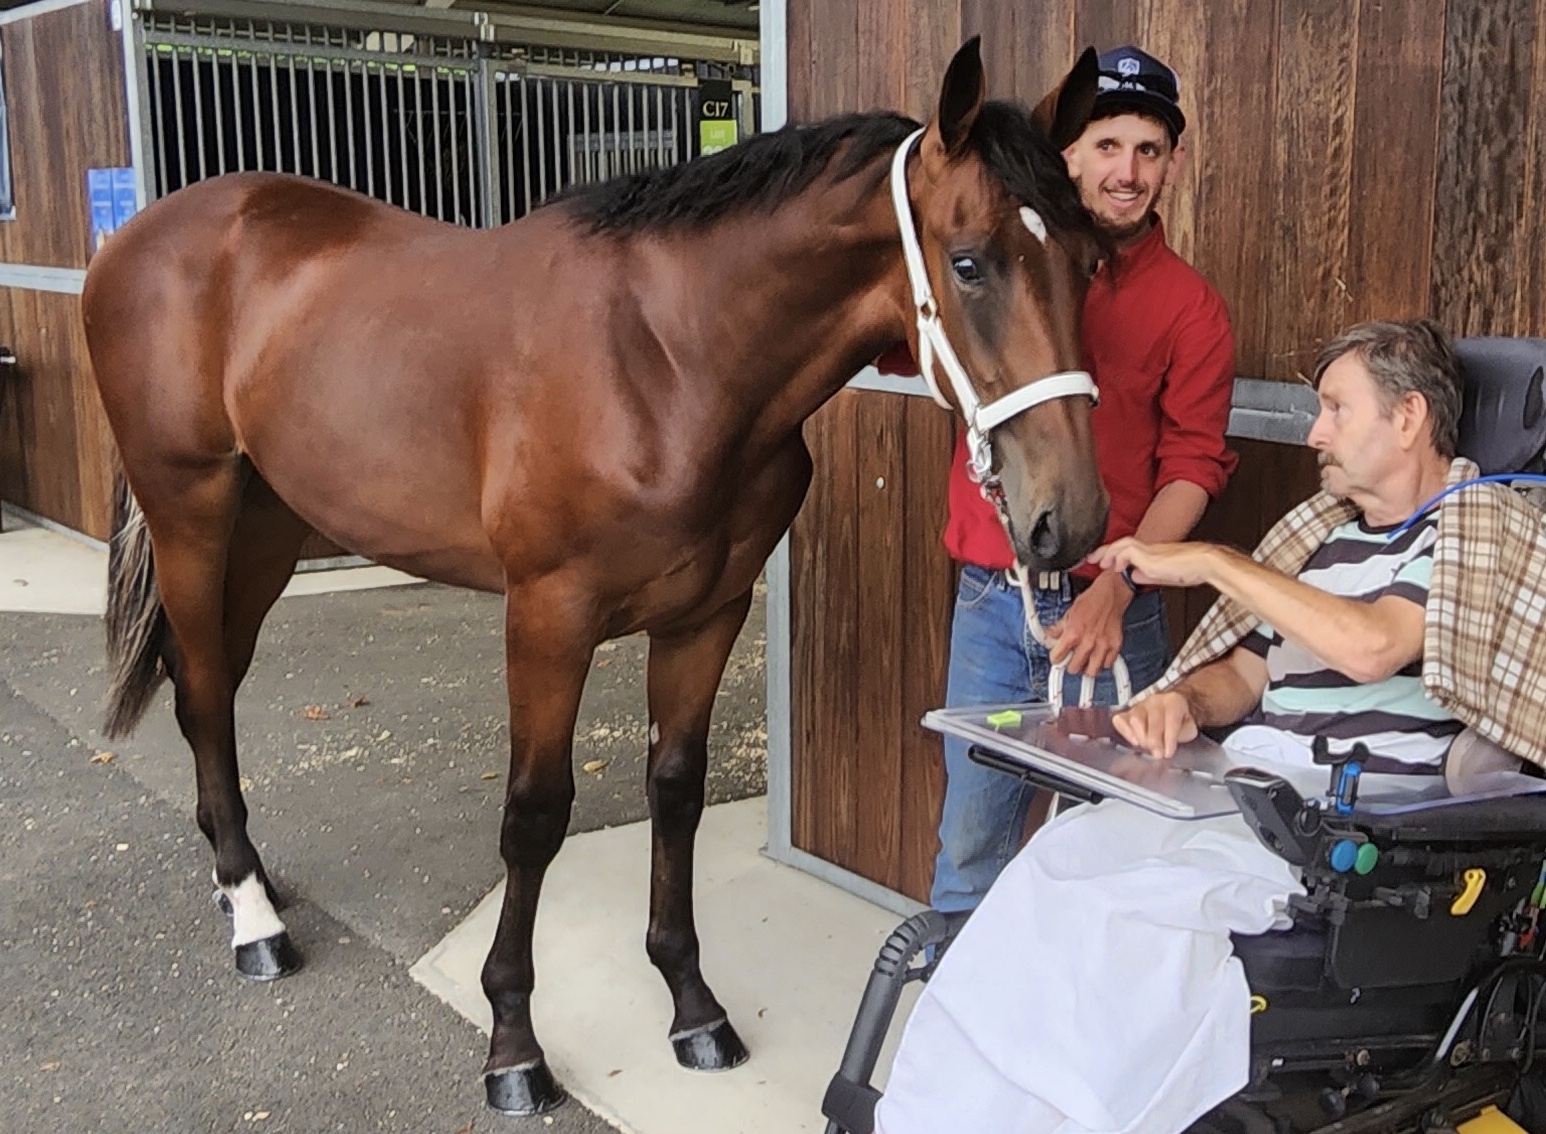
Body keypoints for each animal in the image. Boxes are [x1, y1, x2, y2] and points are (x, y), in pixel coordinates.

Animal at [81, 37, 1110, 1116]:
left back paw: (240, 878)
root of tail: (141, 238)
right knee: (203, 690)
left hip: (271, 526)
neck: (666, 358)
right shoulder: (549, 616)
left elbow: (676, 792)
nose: (1071, 519)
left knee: (214, 686)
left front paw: (693, 1008)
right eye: (970, 262)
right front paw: (512, 1045)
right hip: (191, 515)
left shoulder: (707, 615)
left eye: (1091, 261)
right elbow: (535, 818)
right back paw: (254, 919)